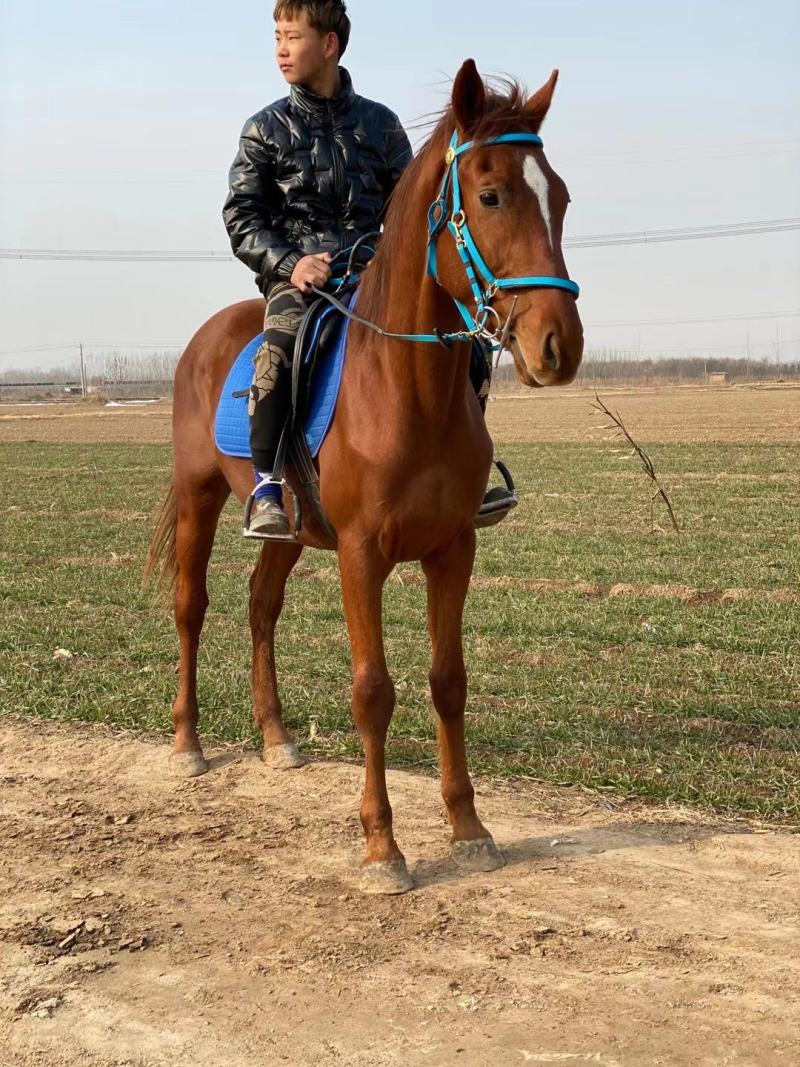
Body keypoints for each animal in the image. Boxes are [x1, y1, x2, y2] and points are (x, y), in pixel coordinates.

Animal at [145, 59, 584, 895]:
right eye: (490, 195)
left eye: (562, 197)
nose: (559, 345)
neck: (408, 389)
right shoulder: (361, 554)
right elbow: (373, 690)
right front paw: (383, 847)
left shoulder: (453, 549)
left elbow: (448, 680)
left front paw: (468, 827)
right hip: (200, 499)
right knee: (192, 607)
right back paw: (187, 745)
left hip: (288, 526)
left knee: (261, 605)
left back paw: (277, 737)